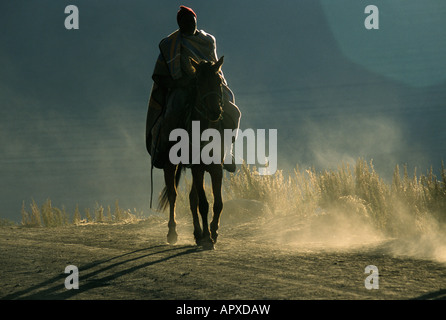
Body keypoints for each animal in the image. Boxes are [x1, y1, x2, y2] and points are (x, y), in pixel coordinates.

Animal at [158, 57, 226, 250]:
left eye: (219, 82)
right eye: (199, 83)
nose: (215, 112)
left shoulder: (216, 169)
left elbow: (218, 203)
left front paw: (213, 233)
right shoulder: (197, 168)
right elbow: (203, 204)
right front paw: (208, 238)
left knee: (191, 198)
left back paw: (197, 233)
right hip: (170, 164)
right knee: (173, 194)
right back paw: (173, 233)